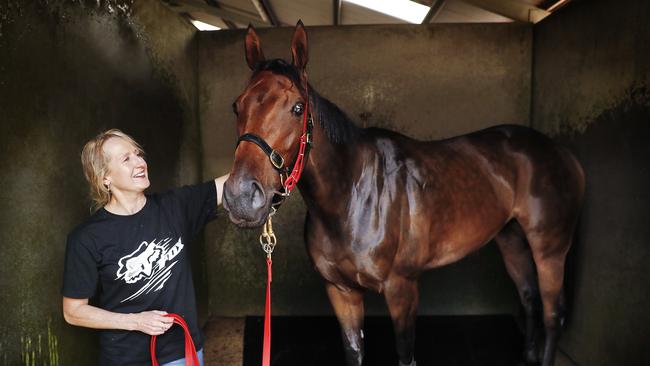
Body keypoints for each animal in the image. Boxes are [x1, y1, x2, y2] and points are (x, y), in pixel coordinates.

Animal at [220, 20, 584, 366]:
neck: (350, 197)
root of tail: (562, 154)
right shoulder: (341, 291)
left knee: (553, 314)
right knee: (530, 299)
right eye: (237, 106)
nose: (241, 197)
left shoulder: (402, 288)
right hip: (511, 240)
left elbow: (405, 354)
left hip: (550, 250)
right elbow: (354, 351)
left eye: (298, 108)